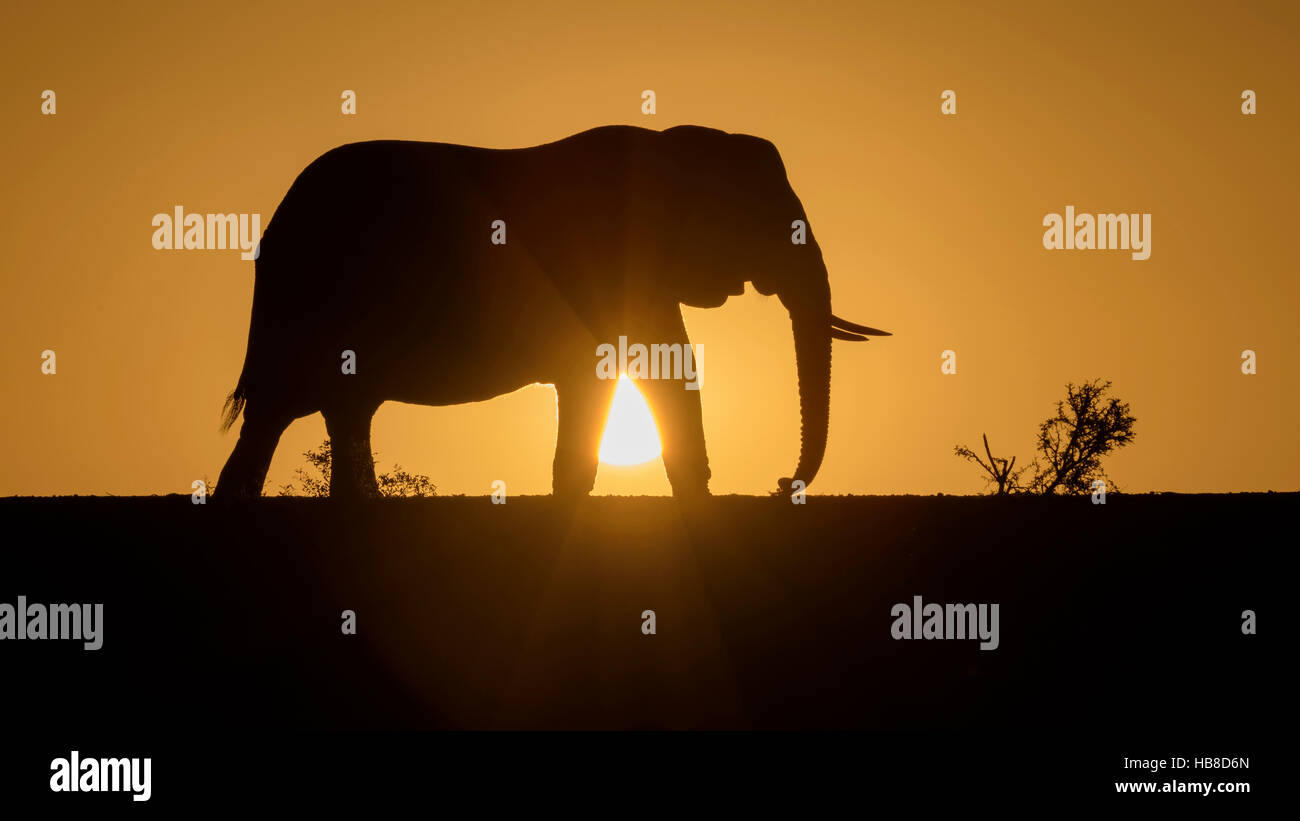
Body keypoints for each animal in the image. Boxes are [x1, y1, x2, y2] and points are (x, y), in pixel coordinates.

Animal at [215, 125, 883, 496]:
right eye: (770, 223)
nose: (779, 484)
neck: (673, 146)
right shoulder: (602, 265)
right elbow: (611, 374)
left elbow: (666, 367)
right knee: (288, 409)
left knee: (328, 412)